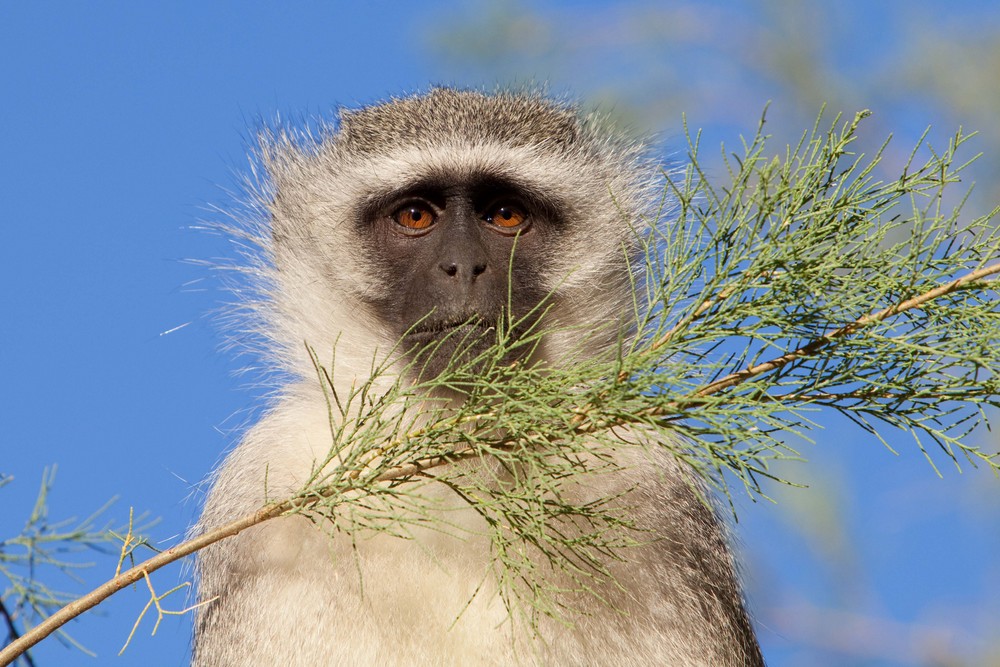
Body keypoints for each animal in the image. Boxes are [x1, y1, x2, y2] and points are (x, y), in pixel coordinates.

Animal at [191, 88, 760, 667]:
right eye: (415, 215)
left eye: (505, 214)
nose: (463, 267)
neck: (463, 452)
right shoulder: (268, 486)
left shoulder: (653, 490)